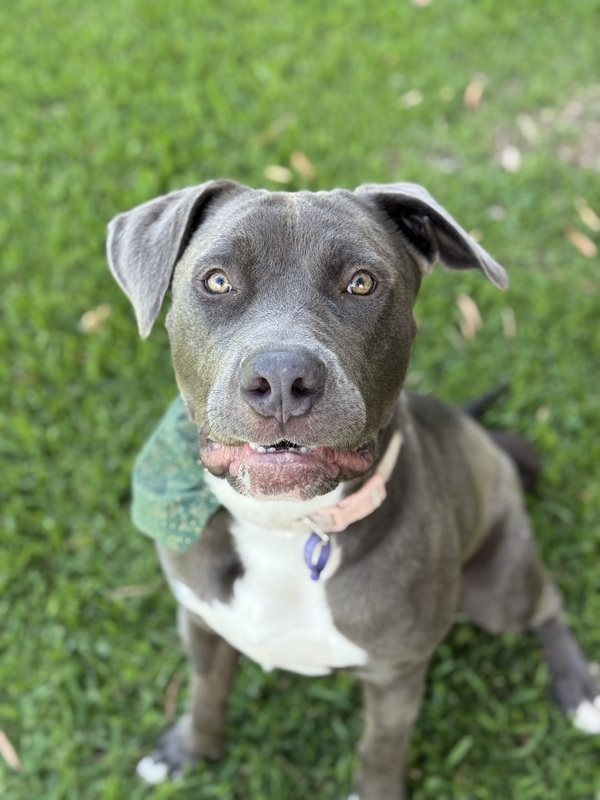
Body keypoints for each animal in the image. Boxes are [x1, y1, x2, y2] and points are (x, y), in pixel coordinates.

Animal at [107, 181, 600, 799]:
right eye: (217, 281)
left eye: (361, 283)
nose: (282, 377)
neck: (288, 527)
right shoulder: (200, 620)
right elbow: (206, 694)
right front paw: (188, 752)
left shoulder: (396, 675)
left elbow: (380, 750)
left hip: (499, 589)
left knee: (545, 601)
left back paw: (579, 690)